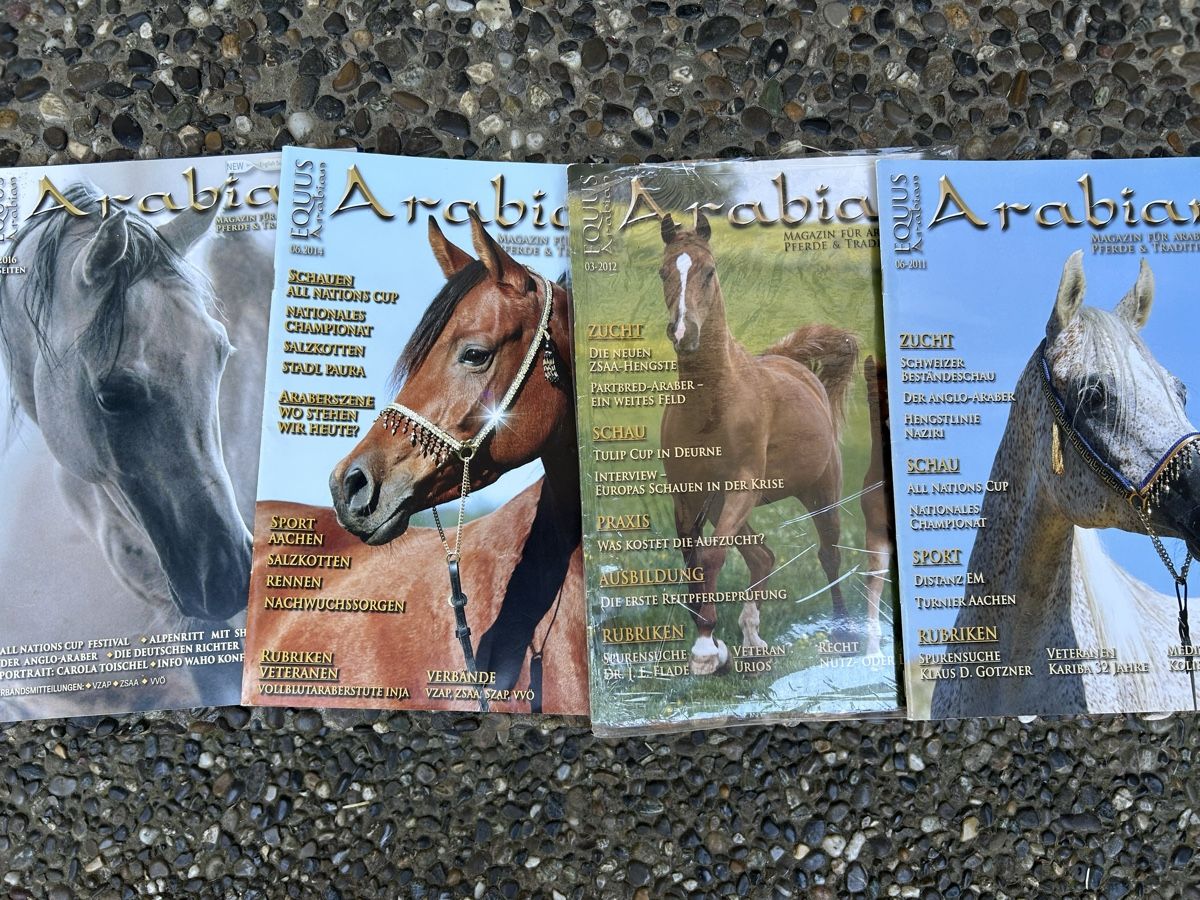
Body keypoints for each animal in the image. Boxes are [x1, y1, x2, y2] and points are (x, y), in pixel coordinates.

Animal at [657, 211, 861, 675]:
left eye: (709, 271)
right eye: (663, 272)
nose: (684, 332)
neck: (711, 407)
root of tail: (792, 363)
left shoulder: (743, 485)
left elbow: (711, 558)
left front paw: (705, 650)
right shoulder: (688, 496)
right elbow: (693, 560)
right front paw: (709, 642)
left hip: (822, 492)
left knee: (829, 555)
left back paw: (842, 634)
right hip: (721, 504)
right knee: (763, 556)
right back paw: (752, 640)